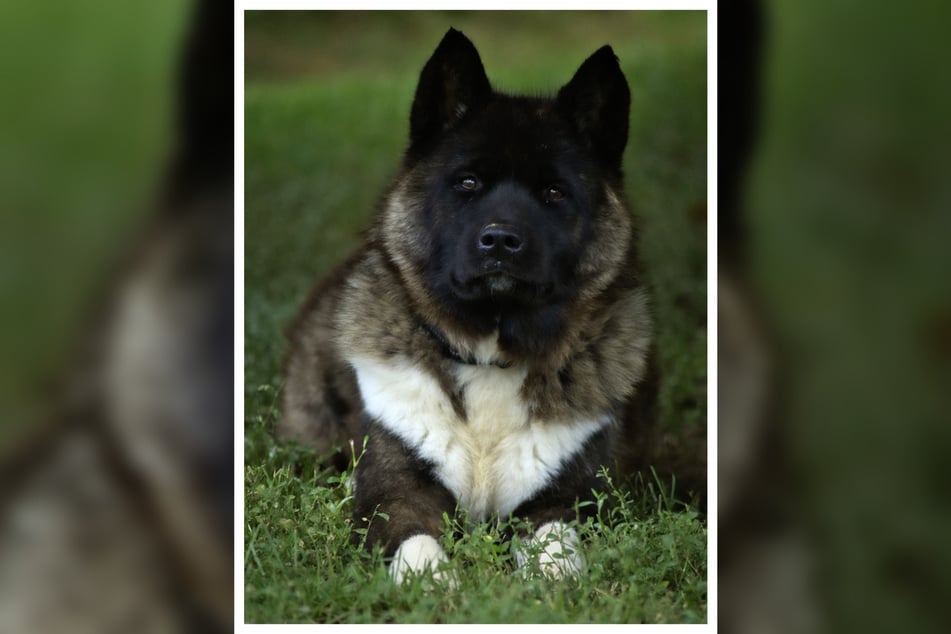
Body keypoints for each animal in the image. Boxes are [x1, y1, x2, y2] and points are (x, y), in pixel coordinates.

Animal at [278, 28, 660, 584]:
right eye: (467, 182)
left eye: (554, 192)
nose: (500, 241)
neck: (488, 357)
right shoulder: (395, 491)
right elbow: (417, 547)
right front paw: (437, 588)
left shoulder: (568, 499)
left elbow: (557, 553)